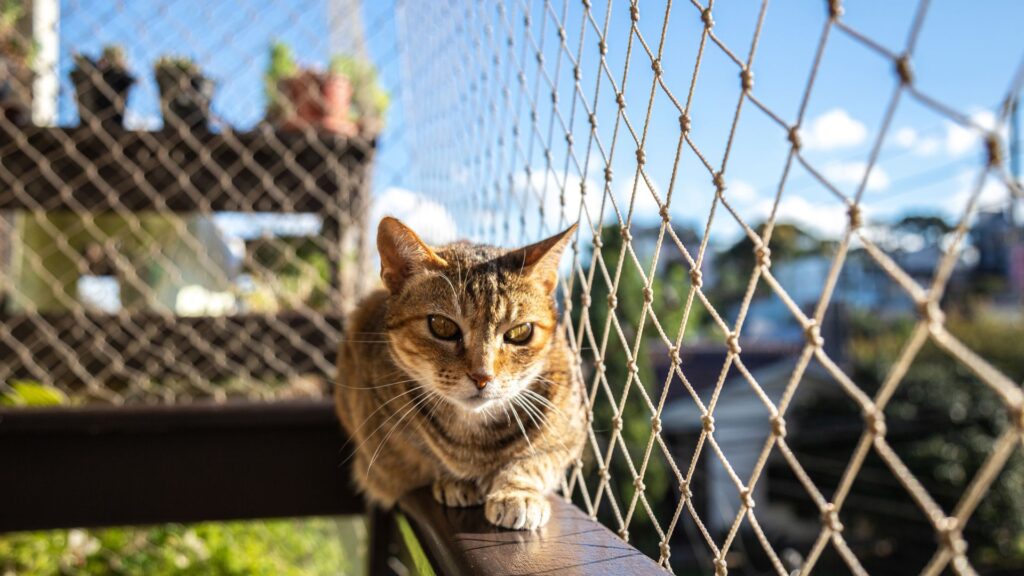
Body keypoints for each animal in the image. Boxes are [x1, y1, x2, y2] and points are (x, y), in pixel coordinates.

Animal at [335, 216, 589, 528]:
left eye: (520, 332)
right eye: (442, 326)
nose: (483, 376)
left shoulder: (570, 429)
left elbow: (536, 460)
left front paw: (517, 492)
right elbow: (424, 455)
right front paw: (453, 480)